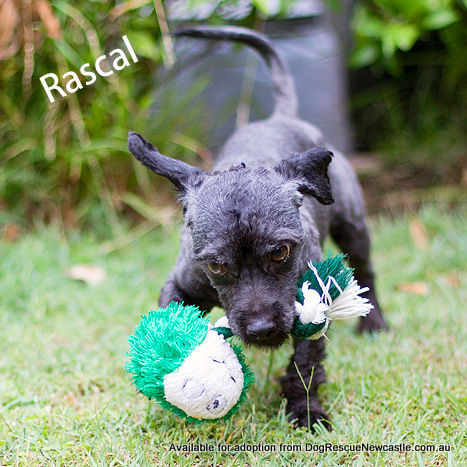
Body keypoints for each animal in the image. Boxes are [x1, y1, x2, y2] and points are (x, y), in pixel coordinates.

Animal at [128, 26, 387, 429]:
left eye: (280, 252)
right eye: (215, 265)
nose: (262, 330)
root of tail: (280, 117)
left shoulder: (314, 306)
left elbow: (305, 362)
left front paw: (305, 409)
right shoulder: (181, 283)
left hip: (353, 226)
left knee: (367, 270)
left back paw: (374, 323)